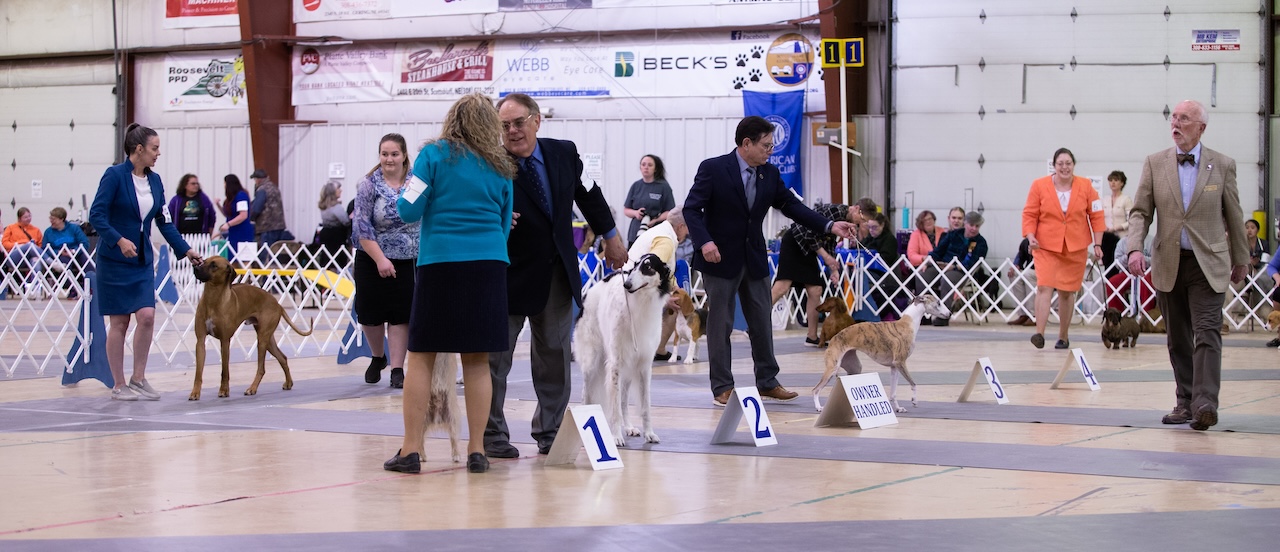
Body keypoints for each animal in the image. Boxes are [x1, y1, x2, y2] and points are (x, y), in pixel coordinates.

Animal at [190, 255, 313, 400]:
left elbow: (225, 371)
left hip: (262, 339)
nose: (195, 268)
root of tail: (277, 303)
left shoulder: (225, 341)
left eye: (214, 265)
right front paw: (195, 392)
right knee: (283, 357)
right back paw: (288, 383)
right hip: (267, 339)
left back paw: (252, 388)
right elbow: (198, 372)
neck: (213, 299)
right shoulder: (200, 340)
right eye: (204, 261)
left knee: (261, 368)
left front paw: (224, 390)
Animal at [575, 253, 673, 446]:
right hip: (592, 361)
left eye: (648, 267)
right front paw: (615, 437)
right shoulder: (615, 362)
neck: (640, 302)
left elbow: (645, 405)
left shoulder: (643, 364)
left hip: (628, 368)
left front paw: (649, 433)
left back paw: (628, 427)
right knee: (587, 394)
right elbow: (614, 407)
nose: (626, 284)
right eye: (634, 266)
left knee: (624, 401)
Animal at [812, 293, 951, 413]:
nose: (949, 313)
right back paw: (819, 407)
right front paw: (914, 400)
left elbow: (893, 393)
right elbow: (914, 384)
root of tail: (833, 339)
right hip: (832, 368)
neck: (907, 324)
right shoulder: (900, 362)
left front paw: (898, 408)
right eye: (938, 302)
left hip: (854, 367)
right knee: (815, 389)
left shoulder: (895, 367)